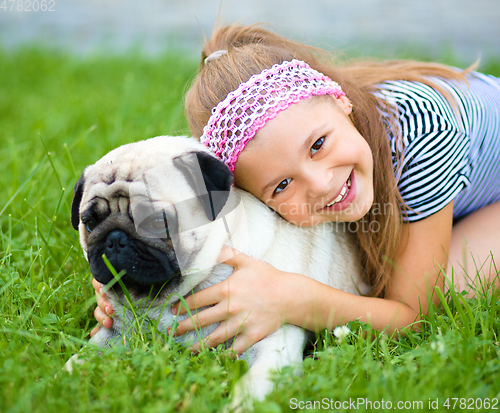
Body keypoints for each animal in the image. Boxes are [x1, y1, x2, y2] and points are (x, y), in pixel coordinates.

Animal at [66, 134, 370, 406]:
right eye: (89, 223)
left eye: (156, 222)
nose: (115, 239)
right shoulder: (116, 334)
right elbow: (78, 360)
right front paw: (62, 382)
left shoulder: (271, 339)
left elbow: (254, 381)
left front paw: (242, 405)